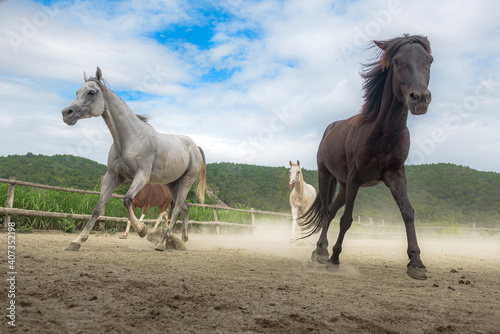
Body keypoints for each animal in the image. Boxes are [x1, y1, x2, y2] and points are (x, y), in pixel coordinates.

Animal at [61, 68, 206, 250]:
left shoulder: (142, 176)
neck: (130, 139)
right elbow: (98, 208)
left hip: (186, 181)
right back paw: (183, 239)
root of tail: (195, 146)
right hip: (172, 183)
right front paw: (77, 241)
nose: (66, 113)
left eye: (91, 92)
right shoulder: (113, 176)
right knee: (185, 208)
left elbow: (127, 200)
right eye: (77, 92)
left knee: (177, 209)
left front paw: (142, 230)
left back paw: (162, 242)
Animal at [300, 34, 434, 280]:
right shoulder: (356, 177)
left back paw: (320, 250)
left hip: (344, 186)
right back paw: (321, 252)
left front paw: (416, 263)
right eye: (397, 61)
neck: (381, 132)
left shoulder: (395, 176)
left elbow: (408, 213)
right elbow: (347, 220)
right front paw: (335, 258)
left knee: (331, 211)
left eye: (429, 60)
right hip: (327, 176)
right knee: (326, 211)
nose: (419, 98)